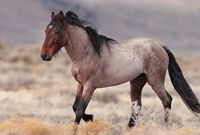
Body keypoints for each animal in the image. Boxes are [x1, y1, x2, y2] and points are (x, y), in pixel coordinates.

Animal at [40, 10, 200, 127]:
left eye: (57, 31)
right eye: (46, 31)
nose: (44, 55)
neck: (87, 53)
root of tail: (161, 47)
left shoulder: (90, 86)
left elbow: (79, 110)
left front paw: (85, 121)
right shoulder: (80, 85)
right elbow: (75, 107)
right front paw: (90, 118)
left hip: (155, 81)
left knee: (167, 100)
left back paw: (164, 127)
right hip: (136, 82)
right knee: (137, 106)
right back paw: (129, 128)